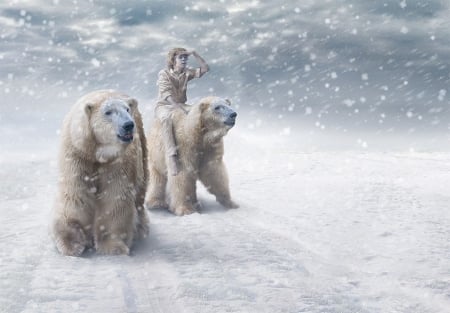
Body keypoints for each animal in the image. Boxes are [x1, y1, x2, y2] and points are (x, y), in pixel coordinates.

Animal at [51, 89, 149, 255]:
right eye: (108, 112)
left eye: (127, 109)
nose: (128, 125)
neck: (96, 153)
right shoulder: (76, 155)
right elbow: (75, 194)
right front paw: (71, 243)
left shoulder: (118, 163)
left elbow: (115, 196)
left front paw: (113, 246)